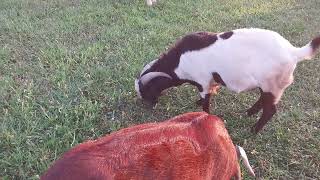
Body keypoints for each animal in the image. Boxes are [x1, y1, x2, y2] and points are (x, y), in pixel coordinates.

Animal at [135, 27, 320, 132]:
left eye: (146, 91)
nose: (148, 106)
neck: (178, 62)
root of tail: (293, 52)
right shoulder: (208, 82)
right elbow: (208, 93)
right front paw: (197, 102)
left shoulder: (203, 80)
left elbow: (206, 101)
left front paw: (205, 115)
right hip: (268, 85)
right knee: (262, 99)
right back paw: (249, 112)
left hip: (272, 84)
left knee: (270, 110)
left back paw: (254, 130)